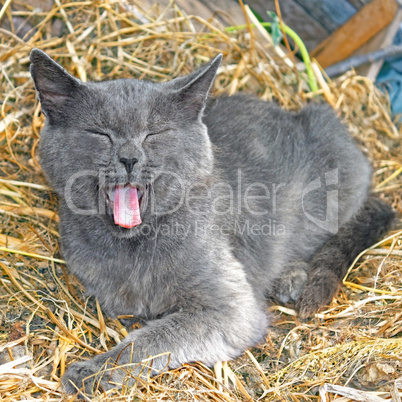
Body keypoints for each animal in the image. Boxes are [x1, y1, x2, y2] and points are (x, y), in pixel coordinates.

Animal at [29, 49, 394, 396]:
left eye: (154, 134)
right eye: (99, 133)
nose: (129, 158)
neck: (133, 246)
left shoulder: (232, 309)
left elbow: (152, 339)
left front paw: (93, 371)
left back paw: (291, 275)